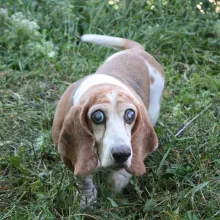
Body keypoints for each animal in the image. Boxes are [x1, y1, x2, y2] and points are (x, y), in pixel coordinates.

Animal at [52, 34, 165, 206]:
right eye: (97, 116)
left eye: (130, 115)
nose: (122, 154)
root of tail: (137, 51)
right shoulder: (70, 158)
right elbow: (83, 178)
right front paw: (87, 198)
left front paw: (115, 186)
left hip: (153, 110)